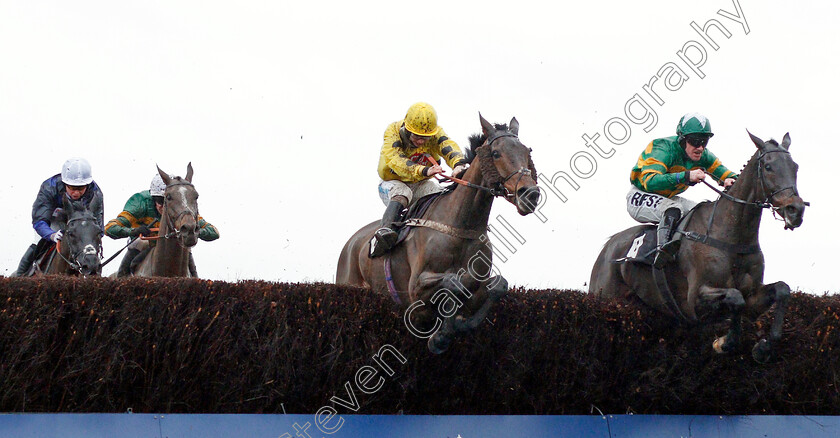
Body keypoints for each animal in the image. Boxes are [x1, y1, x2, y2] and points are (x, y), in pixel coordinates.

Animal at [334, 113, 540, 352]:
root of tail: (350, 244)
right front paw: (442, 333)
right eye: (496, 153)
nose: (530, 194)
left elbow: (498, 284)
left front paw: (458, 324)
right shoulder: (415, 288)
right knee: (401, 193)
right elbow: (454, 282)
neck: (461, 227)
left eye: (527, 152)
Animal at [592, 131, 808, 362]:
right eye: (768, 166)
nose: (796, 210)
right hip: (607, 296)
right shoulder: (694, 300)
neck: (732, 237)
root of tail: (607, 247)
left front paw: (763, 347)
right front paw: (724, 342)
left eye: (795, 167)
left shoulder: (753, 298)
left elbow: (781, 290)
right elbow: (735, 298)